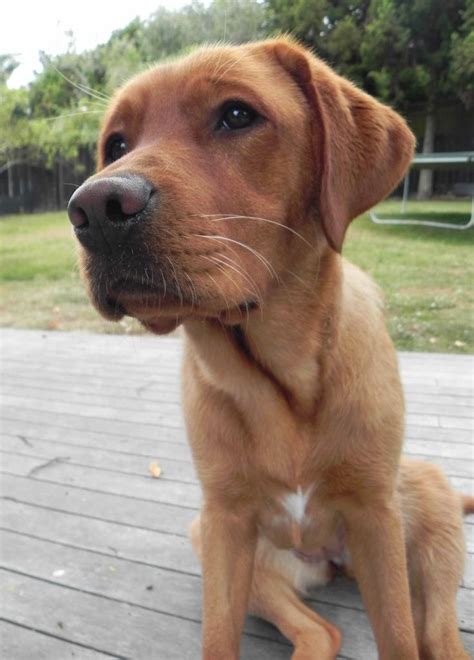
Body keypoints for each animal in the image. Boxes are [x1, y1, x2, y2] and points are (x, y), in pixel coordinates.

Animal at [67, 38, 470, 656]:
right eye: (116, 145)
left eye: (237, 115)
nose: (95, 209)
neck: (281, 376)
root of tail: (329, 559)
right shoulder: (224, 521)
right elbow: (217, 639)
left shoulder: (375, 517)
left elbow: (400, 638)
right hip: (220, 541)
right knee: (322, 631)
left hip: (423, 506)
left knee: (438, 633)